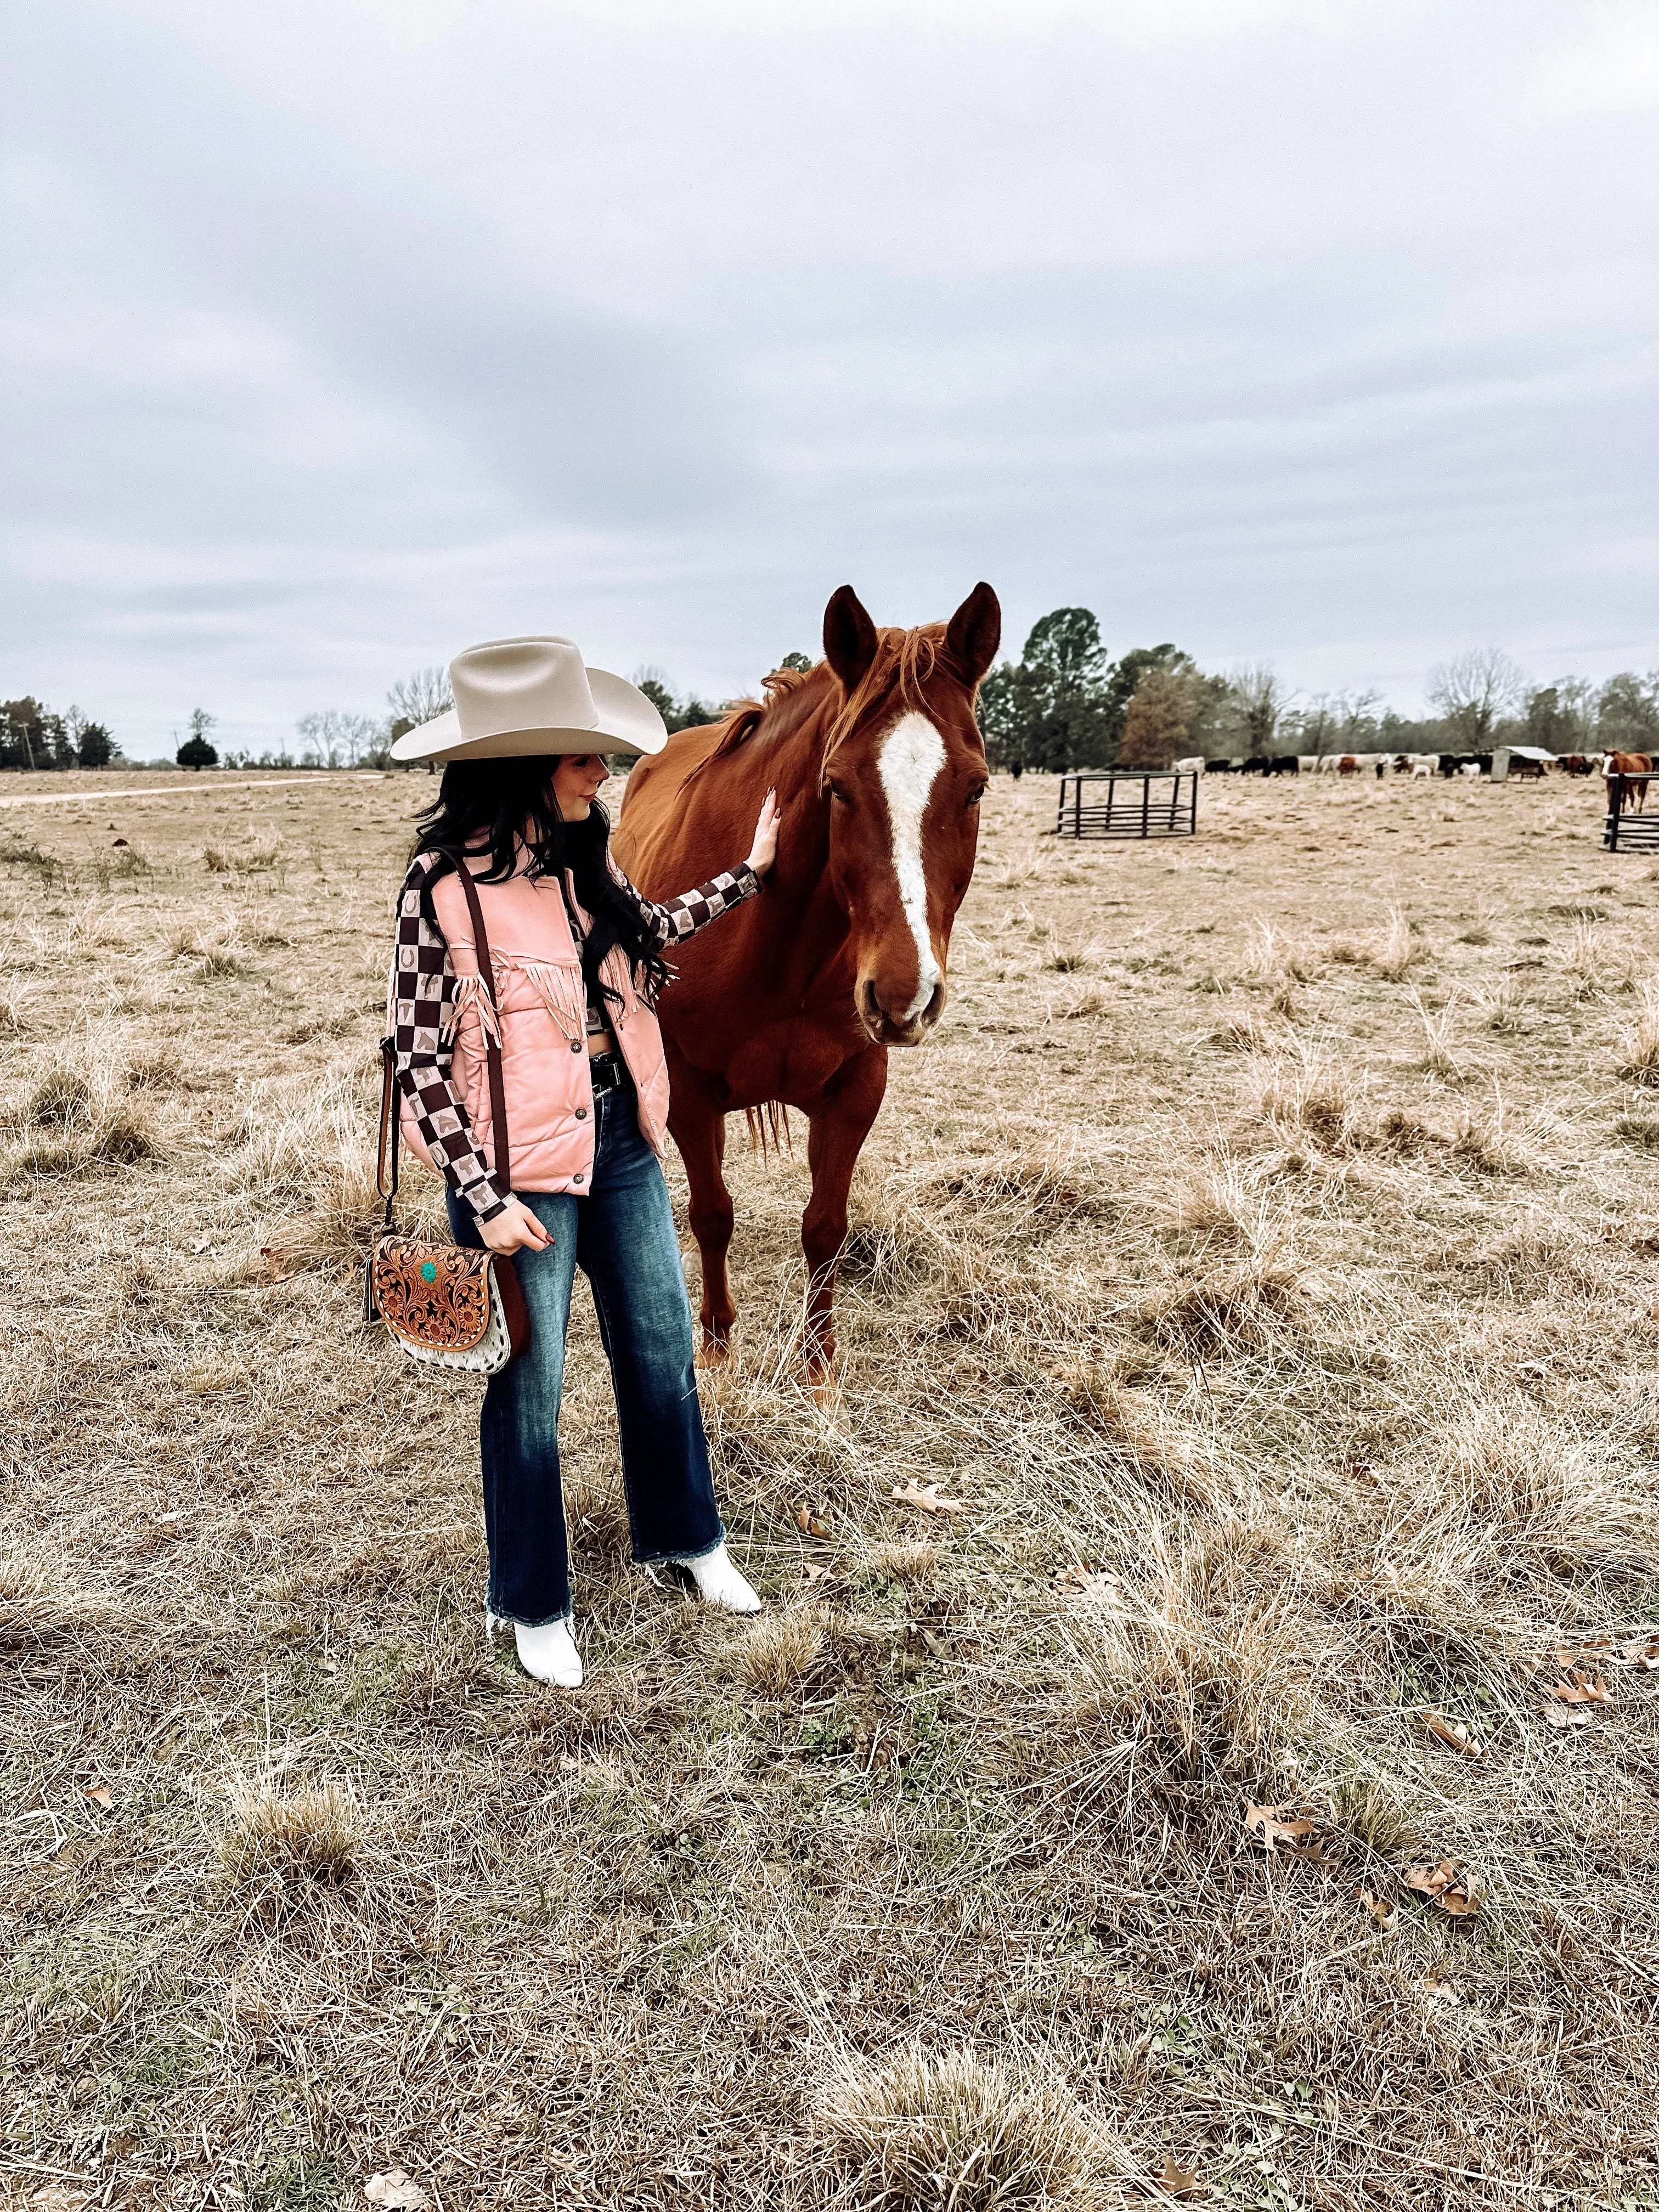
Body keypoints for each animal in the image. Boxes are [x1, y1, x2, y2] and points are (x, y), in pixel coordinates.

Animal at [614, 584, 995, 1380]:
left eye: (975, 789)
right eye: (836, 788)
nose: (905, 996)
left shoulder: (854, 1090)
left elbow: (825, 1226)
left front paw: (819, 1371)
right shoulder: (689, 1092)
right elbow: (713, 1215)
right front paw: (718, 1346)